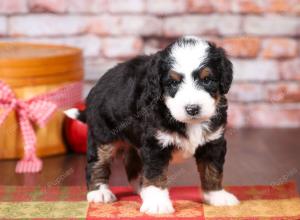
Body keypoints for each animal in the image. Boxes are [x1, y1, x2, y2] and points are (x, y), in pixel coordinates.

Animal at [66, 36, 239, 215]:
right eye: (173, 83)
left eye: (207, 80)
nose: (192, 109)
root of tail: (95, 88)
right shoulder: (155, 144)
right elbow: (155, 174)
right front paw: (157, 203)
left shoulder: (213, 142)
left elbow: (212, 170)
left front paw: (217, 196)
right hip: (103, 135)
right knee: (97, 163)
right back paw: (99, 192)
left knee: (133, 167)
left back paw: (142, 189)